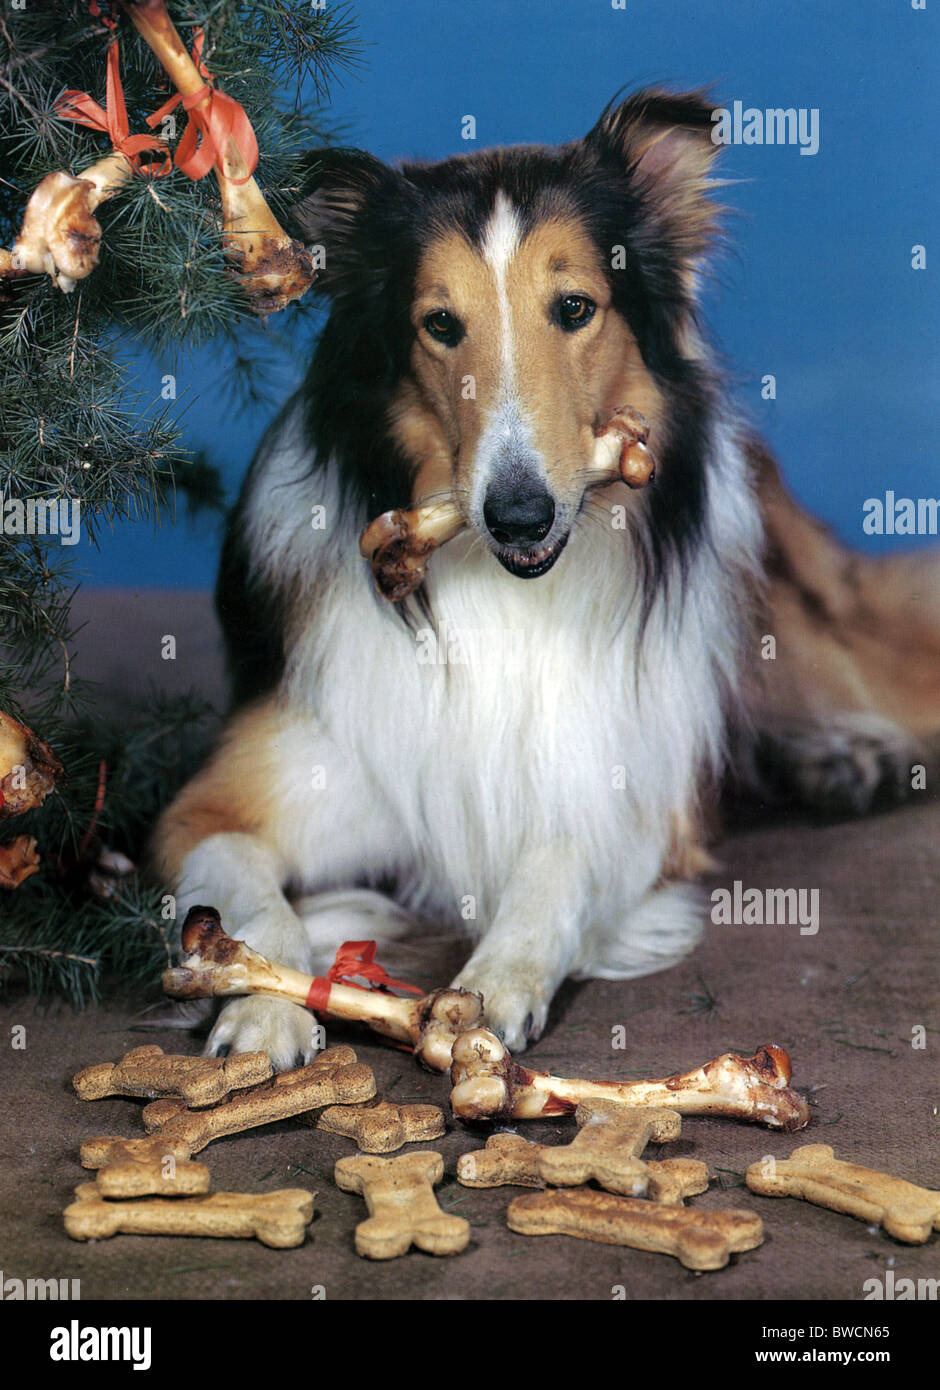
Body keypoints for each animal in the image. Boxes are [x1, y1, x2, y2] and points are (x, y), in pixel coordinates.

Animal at [152, 89, 939, 1061]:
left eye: (573, 307)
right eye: (439, 324)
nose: (518, 515)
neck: (512, 598)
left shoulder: (630, 791)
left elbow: (556, 861)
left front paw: (494, 984)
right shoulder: (216, 806)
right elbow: (240, 888)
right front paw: (262, 1003)